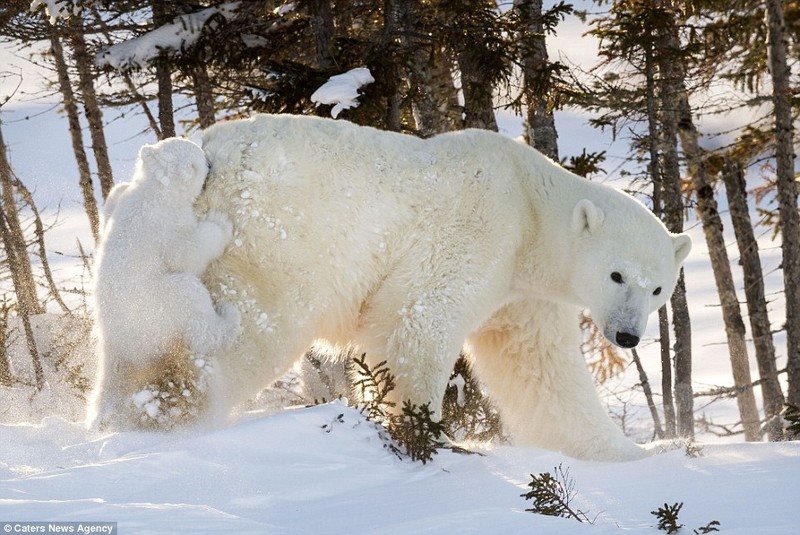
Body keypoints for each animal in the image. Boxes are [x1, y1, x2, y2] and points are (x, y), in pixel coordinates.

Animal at [90, 139, 241, 432]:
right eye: (201, 159)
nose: (211, 164)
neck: (155, 192)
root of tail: (117, 343)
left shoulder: (121, 198)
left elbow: (114, 195)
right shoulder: (166, 227)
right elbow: (187, 254)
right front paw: (220, 222)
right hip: (157, 308)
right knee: (191, 299)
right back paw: (229, 316)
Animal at [197, 115, 692, 462]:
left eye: (657, 289)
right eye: (616, 275)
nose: (627, 335)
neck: (529, 203)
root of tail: (207, 151)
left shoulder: (524, 294)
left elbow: (543, 370)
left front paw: (648, 451)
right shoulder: (479, 230)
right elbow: (417, 323)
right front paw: (432, 437)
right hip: (274, 241)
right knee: (247, 331)